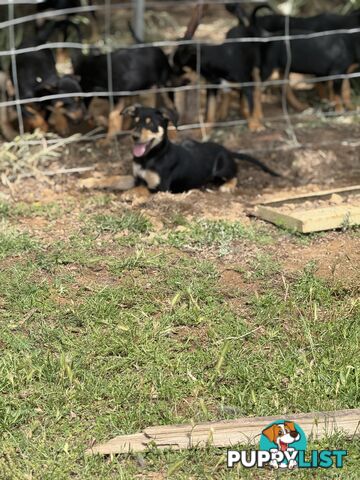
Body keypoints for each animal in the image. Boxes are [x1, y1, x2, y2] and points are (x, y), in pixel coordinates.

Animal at [121, 106, 278, 194]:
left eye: (151, 124)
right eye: (135, 123)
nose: (134, 136)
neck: (150, 157)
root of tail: (226, 149)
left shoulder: (161, 187)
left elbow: (143, 188)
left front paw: (129, 194)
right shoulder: (136, 178)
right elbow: (126, 182)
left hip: (222, 169)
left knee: (235, 175)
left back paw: (227, 186)